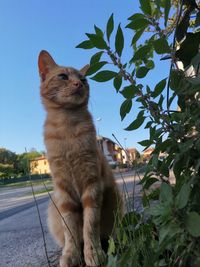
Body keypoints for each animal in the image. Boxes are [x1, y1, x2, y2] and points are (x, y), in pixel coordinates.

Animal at [37, 50, 122, 267]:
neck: (67, 125)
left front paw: (93, 254)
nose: (78, 84)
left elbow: (90, 225)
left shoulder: (92, 185)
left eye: (84, 79)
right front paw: (70, 255)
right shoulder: (64, 192)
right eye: (63, 76)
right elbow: (70, 231)